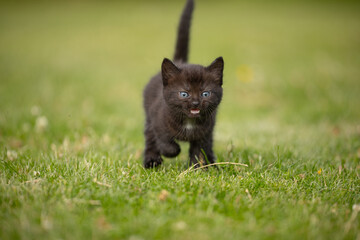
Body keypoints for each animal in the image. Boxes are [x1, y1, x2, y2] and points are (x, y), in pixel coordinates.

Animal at [142, 0, 224, 169]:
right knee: (150, 138)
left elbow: (200, 151)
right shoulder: (157, 119)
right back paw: (152, 161)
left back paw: (213, 164)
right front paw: (172, 151)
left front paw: (198, 168)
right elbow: (165, 142)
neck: (189, 123)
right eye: (184, 94)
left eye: (205, 93)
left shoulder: (205, 132)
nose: (195, 103)